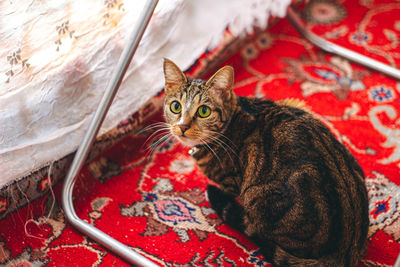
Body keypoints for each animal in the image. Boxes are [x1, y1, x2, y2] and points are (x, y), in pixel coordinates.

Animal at [162, 57, 368, 266]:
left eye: (204, 111)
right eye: (176, 107)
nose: (182, 127)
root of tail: (346, 251)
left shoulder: (232, 182)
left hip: (259, 196)